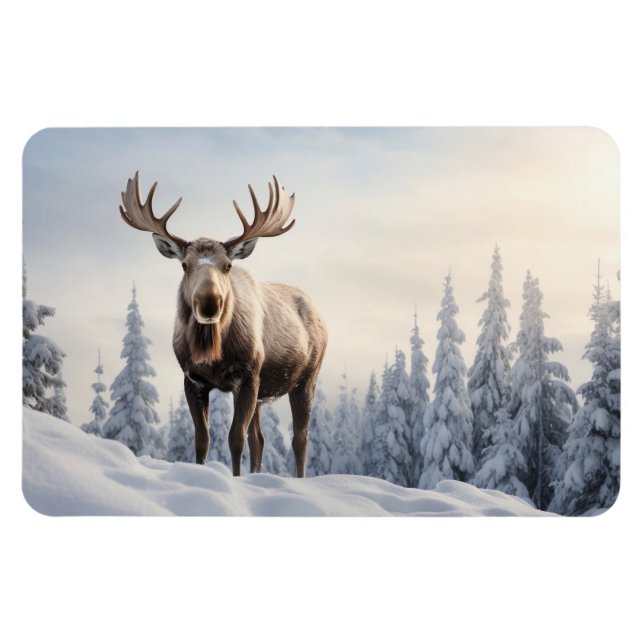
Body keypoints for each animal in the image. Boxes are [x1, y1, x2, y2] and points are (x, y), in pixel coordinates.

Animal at [118, 172, 327, 477]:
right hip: (264, 393)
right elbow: (202, 439)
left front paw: (236, 478)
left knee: (300, 439)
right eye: (184, 264)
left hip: (306, 378)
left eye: (228, 265)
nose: (209, 303)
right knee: (260, 438)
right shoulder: (193, 379)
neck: (212, 353)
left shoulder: (248, 375)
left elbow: (235, 438)